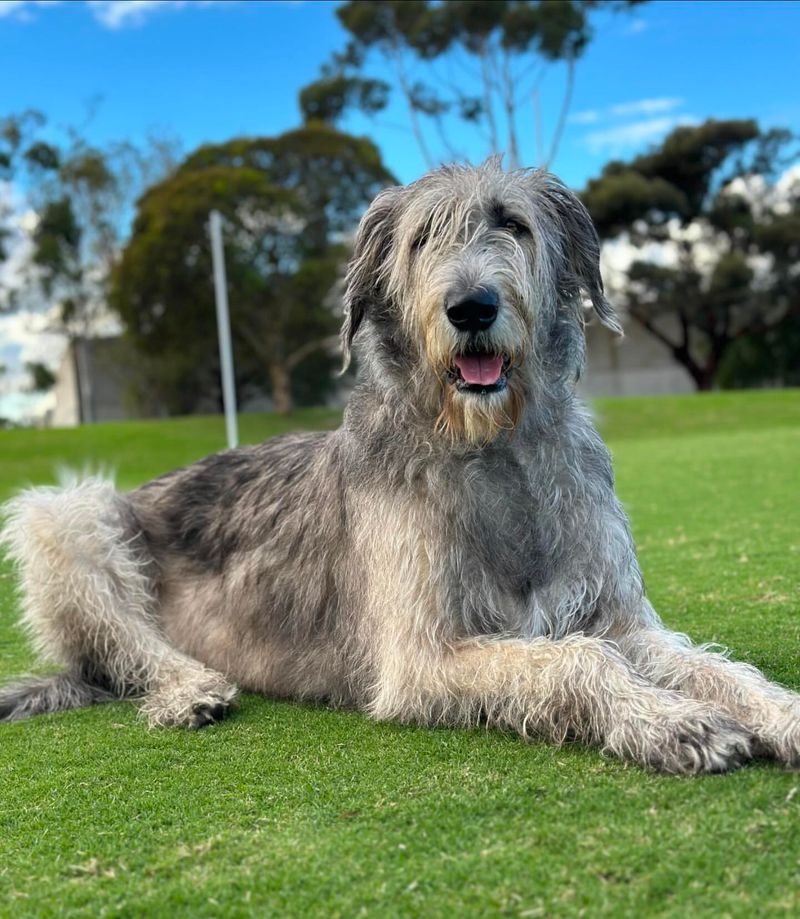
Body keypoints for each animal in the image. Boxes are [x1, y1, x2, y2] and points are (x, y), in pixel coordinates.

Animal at [1, 162, 800, 772]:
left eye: (512, 223)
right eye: (420, 239)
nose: (471, 306)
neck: (489, 448)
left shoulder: (612, 608)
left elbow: (702, 663)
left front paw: (773, 713)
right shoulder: (421, 660)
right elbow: (578, 660)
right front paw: (673, 720)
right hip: (69, 516)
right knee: (131, 643)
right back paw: (188, 686)